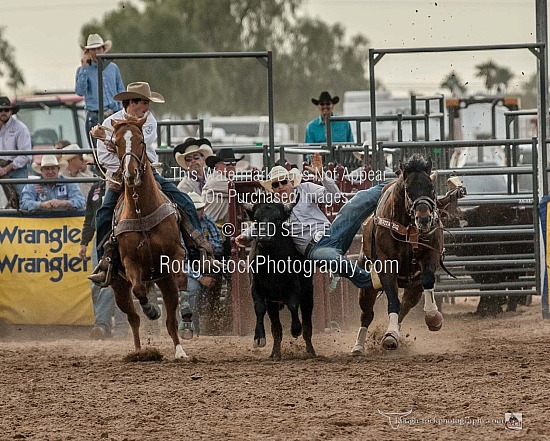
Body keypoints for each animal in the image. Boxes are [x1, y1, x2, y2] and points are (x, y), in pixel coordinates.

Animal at [109, 116, 189, 358]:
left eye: (141, 140)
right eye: (116, 143)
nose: (130, 174)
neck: (141, 211)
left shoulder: (174, 253)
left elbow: (181, 280)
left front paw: (186, 312)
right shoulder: (130, 263)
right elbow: (139, 290)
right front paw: (152, 310)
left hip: (163, 279)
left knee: (170, 321)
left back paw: (179, 351)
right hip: (118, 288)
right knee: (134, 318)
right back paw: (138, 351)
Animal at [354, 155, 448, 354]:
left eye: (432, 188)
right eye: (407, 189)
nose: (424, 219)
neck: (408, 228)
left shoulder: (431, 255)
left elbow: (428, 278)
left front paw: (433, 317)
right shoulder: (386, 265)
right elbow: (393, 301)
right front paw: (389, 336)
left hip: (414, 288)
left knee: (405, 307)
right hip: (367, 287)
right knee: (367, 314)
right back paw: (358, 346)